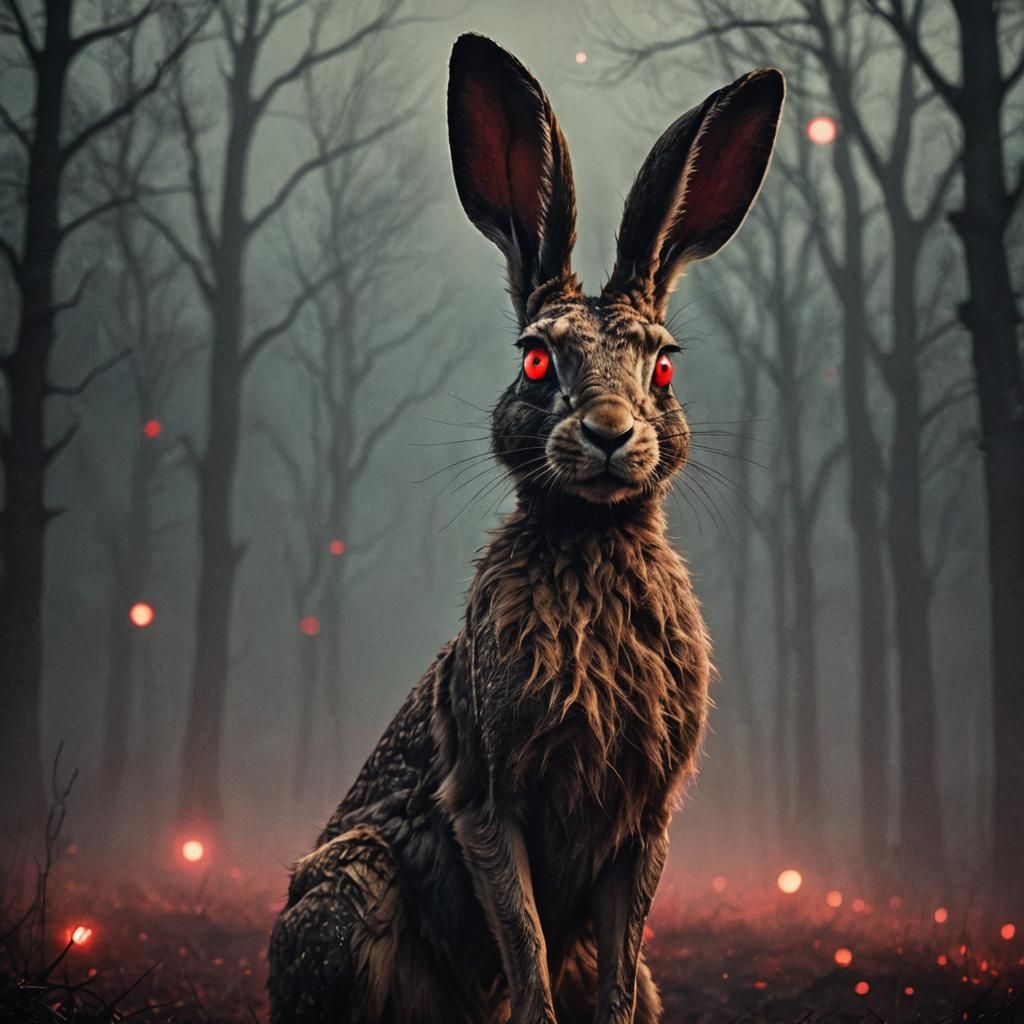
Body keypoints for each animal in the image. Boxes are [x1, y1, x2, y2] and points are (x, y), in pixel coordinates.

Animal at [268, 33, 783, 1024]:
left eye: (663, 367)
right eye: (538, 361)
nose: (611, 433)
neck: (590, 538)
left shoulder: (644, 823)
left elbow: (616, 964)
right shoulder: (487, 799)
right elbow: (526, 945)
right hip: (349, 895)